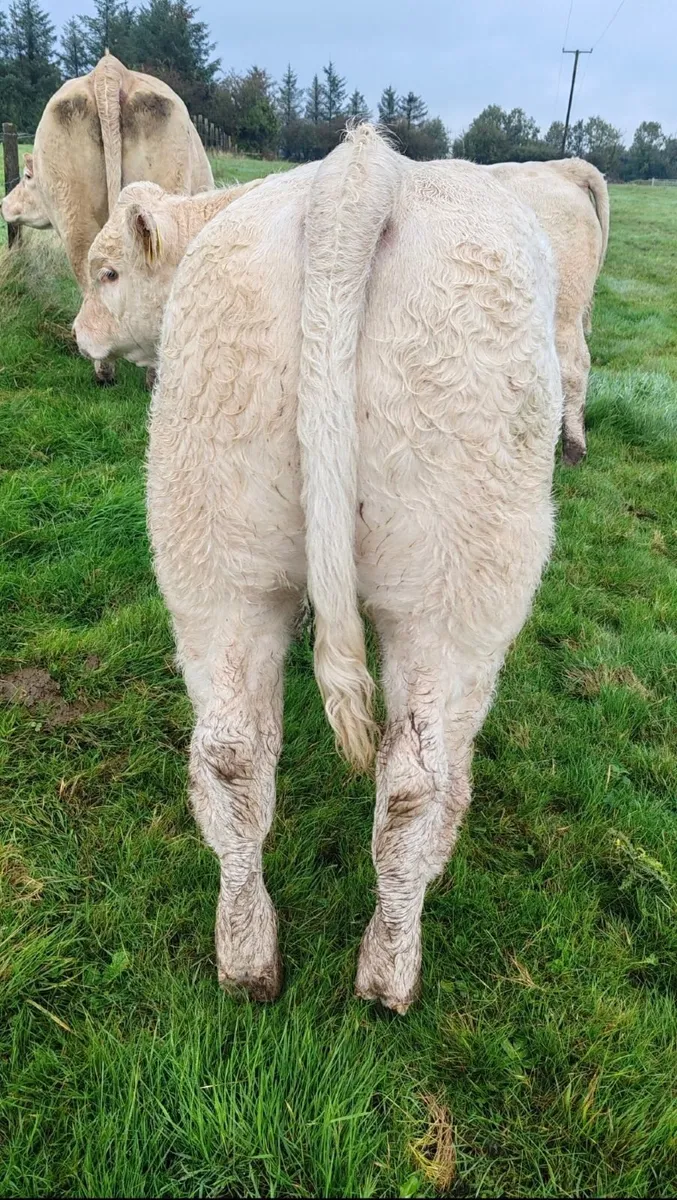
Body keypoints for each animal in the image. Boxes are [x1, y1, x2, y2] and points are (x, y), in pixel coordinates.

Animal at [143, 126, 562, 1013]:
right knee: (415, 780)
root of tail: (360, 170)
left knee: (230, 752)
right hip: (456, 580)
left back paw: (247, 959)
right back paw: (389, 972)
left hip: (213, 545)